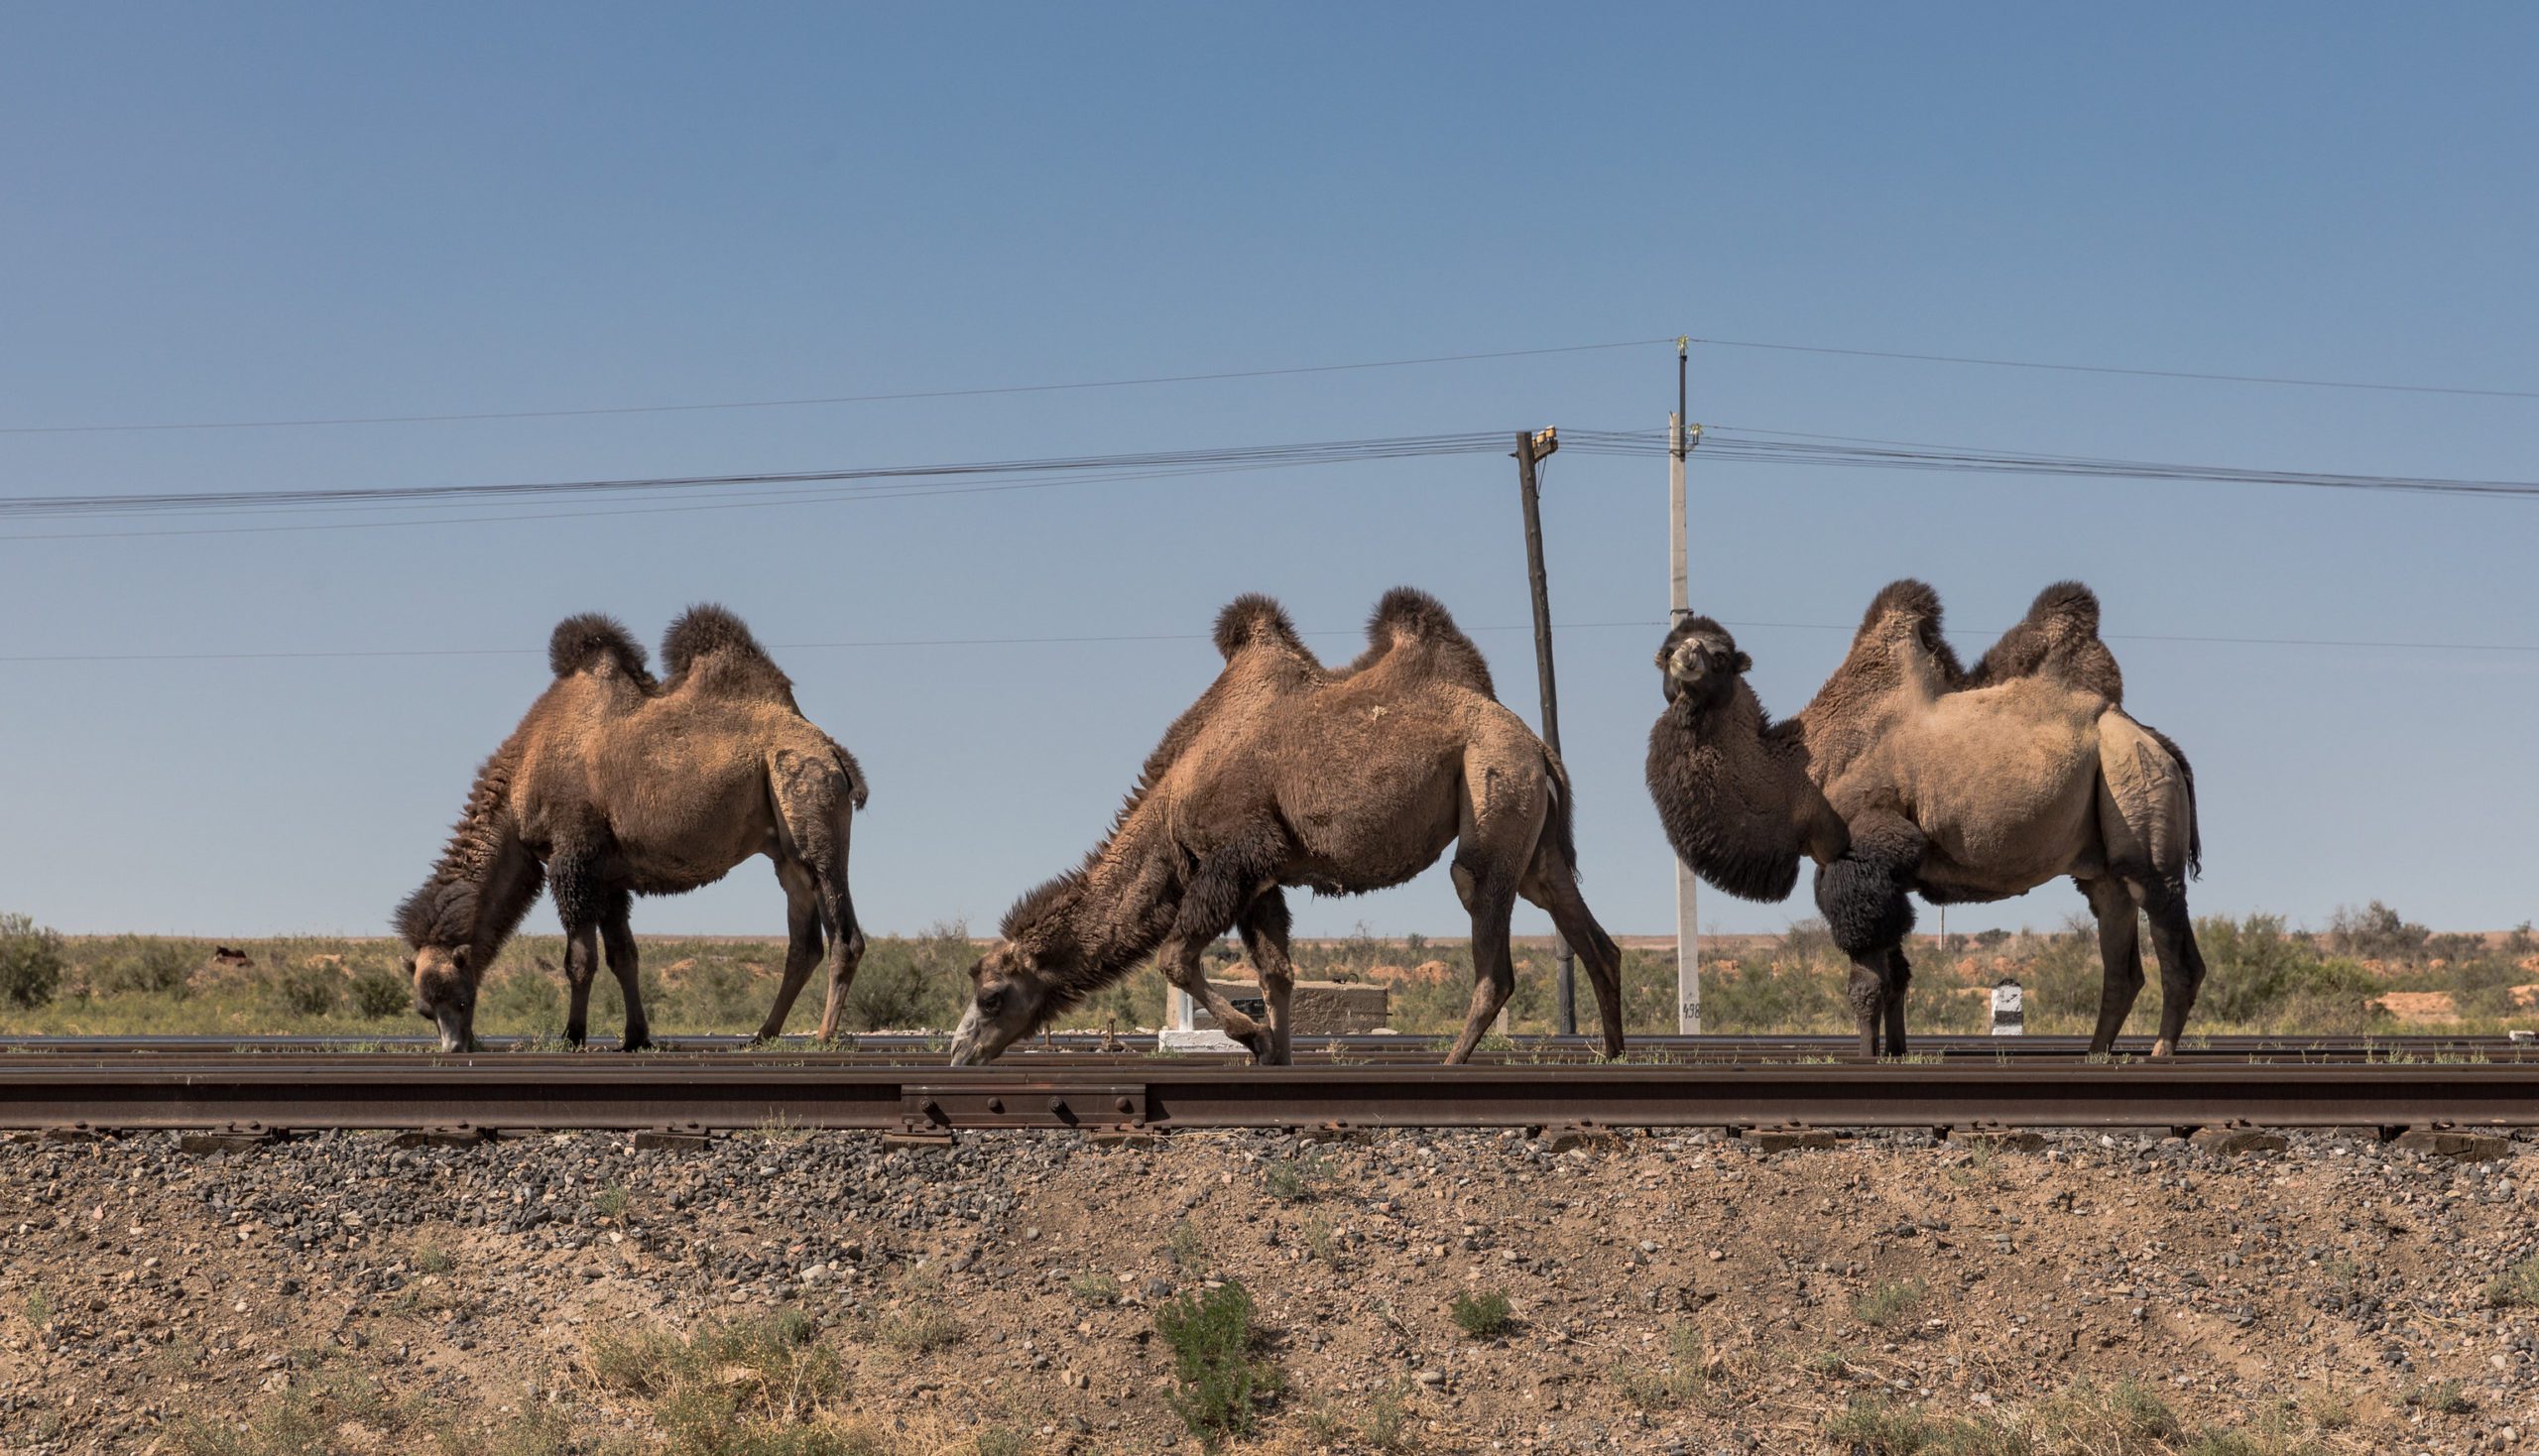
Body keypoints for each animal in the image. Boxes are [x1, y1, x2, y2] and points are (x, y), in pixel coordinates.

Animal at [394, 606, 868, 1052]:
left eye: (461, 998)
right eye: (424, 1010)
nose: (455, 1046)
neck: (518, 789)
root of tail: (833, 752)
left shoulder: (573, 857)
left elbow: (579, 960)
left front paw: (572, 1035)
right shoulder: (608, 872)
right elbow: (624, 956)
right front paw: (636, 1036)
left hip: (808, 798)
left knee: (845, 934)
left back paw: (823, 1035)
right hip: (786, 852)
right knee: (803, 943)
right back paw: (762, 1034)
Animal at [948, 587, 1625, 1067]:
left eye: (991, 995)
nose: (959, 1050)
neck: (1169, 815)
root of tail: (1537, 746)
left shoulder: (1237, 851)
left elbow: (1175, 957)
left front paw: (1250, 1037)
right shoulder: (1262, 878)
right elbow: (1277, 974)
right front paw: (1275, 1053)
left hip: (1491, 781)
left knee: (1487, 932)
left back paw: (1454, 1063)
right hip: (1534, 836)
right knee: (1589, 934)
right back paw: (1614, 1058)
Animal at [1645, 581, 2205, 1058]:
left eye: (1719, 655)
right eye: (1668, 652)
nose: (1687, 661)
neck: (1802, 772)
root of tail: (2155, 740)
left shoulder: (1861, 852)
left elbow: (1867, 981)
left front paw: (1867, 1056)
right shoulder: (1889, 873)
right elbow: (1897, 974)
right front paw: (1895, 1051)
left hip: (2138, 791)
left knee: (2172, 936)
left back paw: (2161, 1050)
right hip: (2103, 857)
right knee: (2120, 952)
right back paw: (2095, 1053)